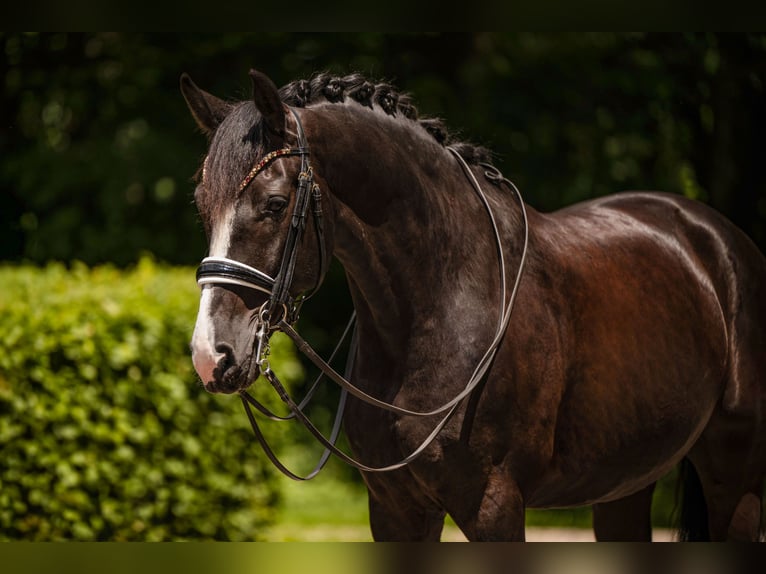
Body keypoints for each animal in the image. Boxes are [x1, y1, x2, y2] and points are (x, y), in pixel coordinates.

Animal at [182, 68, 766, 541]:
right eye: (202, 206)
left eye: (274, 204)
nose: (212, 355)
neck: (447, 297)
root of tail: (720, 239)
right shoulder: (394, 510)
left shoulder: (493, 505)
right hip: (623, 485)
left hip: (735, 477)